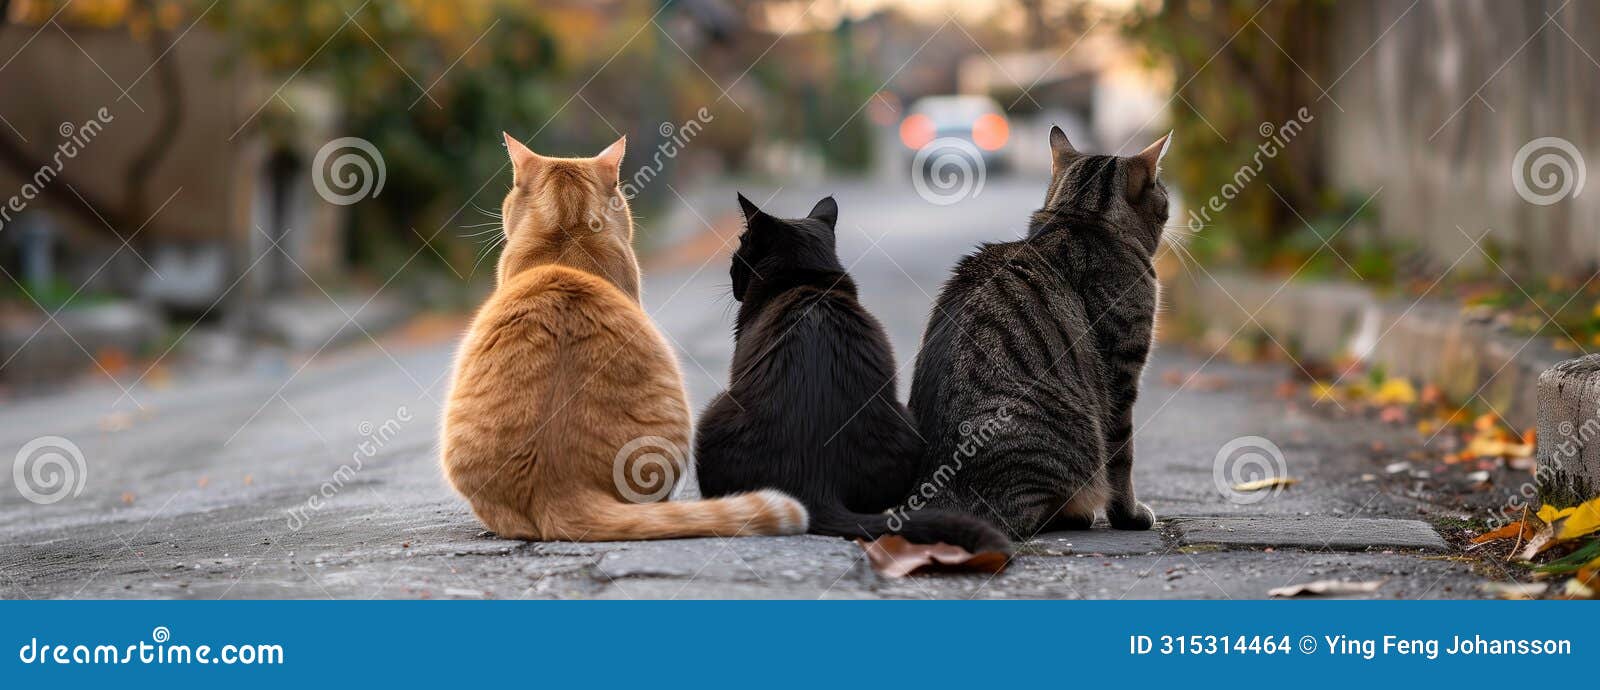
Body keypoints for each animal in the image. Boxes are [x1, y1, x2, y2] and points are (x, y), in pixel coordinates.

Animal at [691, 194, 1011, 557]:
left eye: (738, 257)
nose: (732, 277)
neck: (805, 280)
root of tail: (816, 487)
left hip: (711, 413)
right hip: (908, 426)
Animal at [908, 128, 1171, 541]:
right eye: (1160, 186)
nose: (1168, 197)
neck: (1081, 217)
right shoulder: (1122, 373)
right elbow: (1122, 457)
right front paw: (1129, 516)